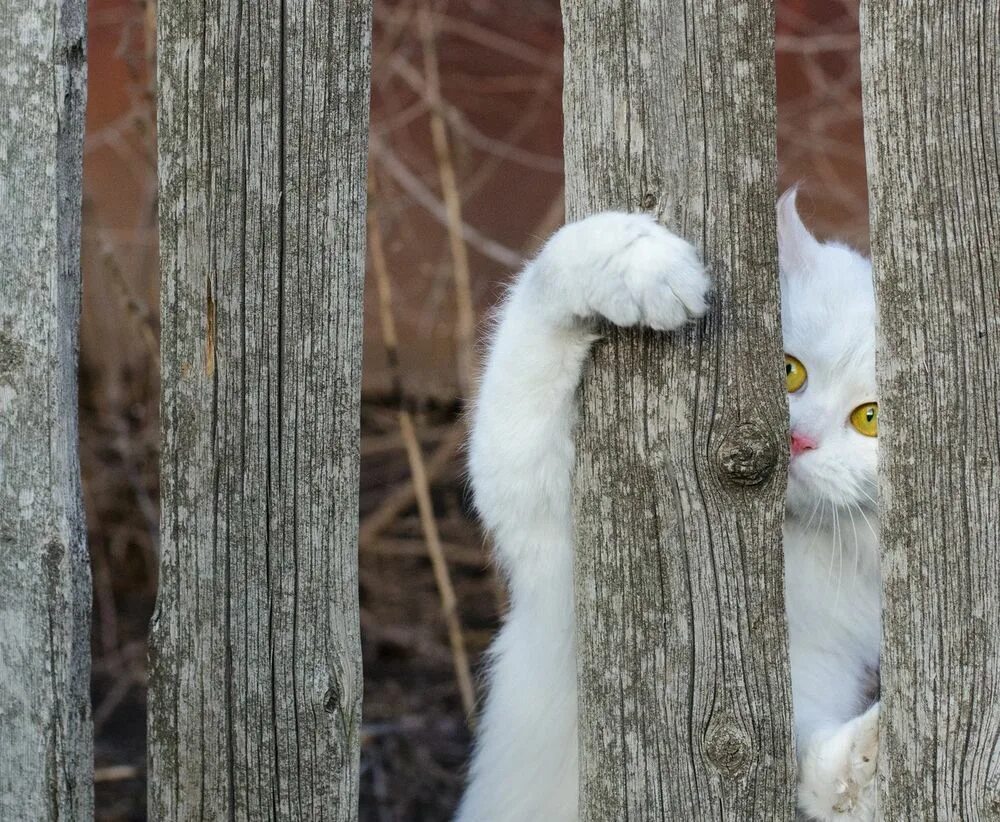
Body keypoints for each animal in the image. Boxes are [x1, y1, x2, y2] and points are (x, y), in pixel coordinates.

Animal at [458, 190, 880, 820]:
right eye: (788, 372)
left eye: (870, 419)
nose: (799, 440)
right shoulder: (537, 514)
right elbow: (542, 303)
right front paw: (640, 263)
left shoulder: (806, 681)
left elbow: (818, 765)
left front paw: (873, 755)